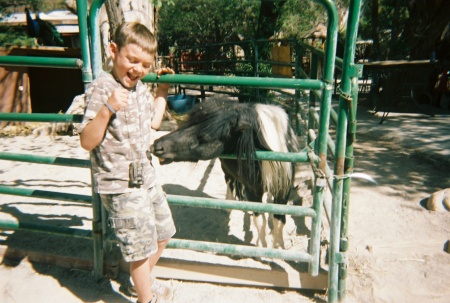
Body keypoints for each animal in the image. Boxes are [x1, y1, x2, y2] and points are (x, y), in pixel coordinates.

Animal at [151, 100, 298, 249]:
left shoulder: (283, 190)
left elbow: (280, 219)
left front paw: (279, 245)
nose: (157, 145)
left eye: (204, 136)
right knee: (230, 182)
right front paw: (262, 246)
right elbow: (260, 221)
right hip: (226, 170)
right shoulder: (253, 191)